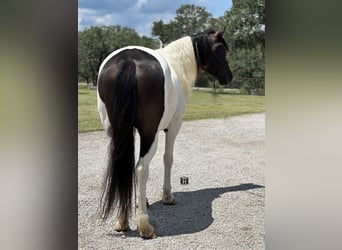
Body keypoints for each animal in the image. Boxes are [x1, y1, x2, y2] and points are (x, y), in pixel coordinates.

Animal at [97, 27, 234, 238]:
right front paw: (167, 196)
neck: (177, 64)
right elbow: (168, 159)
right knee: (141, 168)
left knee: (122, 166)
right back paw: (144, 225)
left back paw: (122, 220)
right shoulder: (174, 127)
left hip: (116, 132)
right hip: (149, 134)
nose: (229, 77)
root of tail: (128, 61)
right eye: (220, 50)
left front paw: (141, 202)